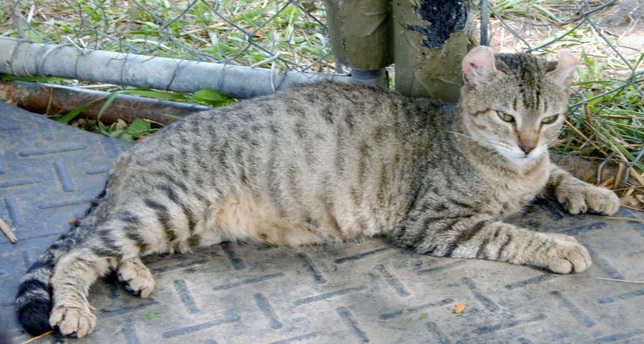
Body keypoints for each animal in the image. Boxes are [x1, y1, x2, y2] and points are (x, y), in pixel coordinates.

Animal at [15, 47, 620, 338]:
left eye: (551, 119)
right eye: (506, 116)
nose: (526, 143)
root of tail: (129, 154)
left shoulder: (537, 166)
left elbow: (556, 174)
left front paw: (591, 190)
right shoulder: (436, 221)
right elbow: (508, 232)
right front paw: (563, 247)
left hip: (183, 225)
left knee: (108, 247)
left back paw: (134, 273)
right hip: (175, 204)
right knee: (77, 253)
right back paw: (72, 306)